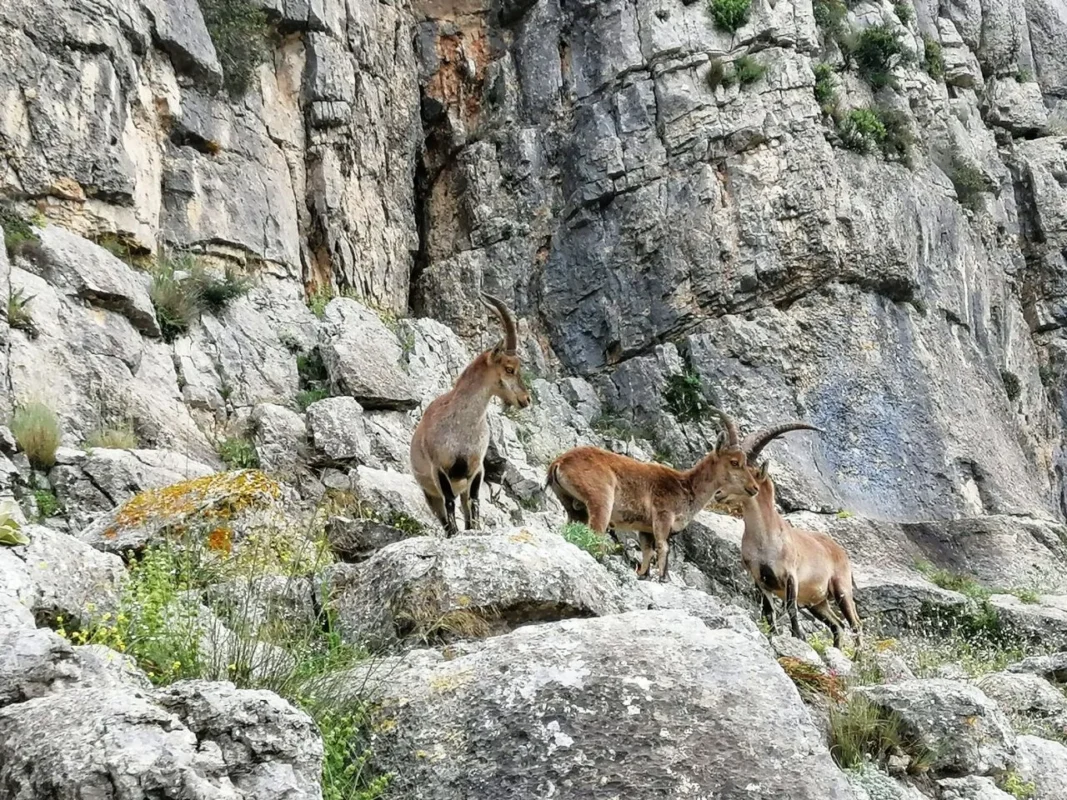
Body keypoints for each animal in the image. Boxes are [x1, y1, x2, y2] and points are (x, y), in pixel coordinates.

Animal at [410, 293, 531, 536]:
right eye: (509, 368)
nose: (526, 399)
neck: (461, 427)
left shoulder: (476, 469)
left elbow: (474, 505)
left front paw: (474, 530)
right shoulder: (440, 469)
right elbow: (449, 503)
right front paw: (456, 535)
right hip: (429, 493)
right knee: (444, 516)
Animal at [546, 410, 759, 582]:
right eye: (734, 462)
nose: (754, 487)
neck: (687, 486)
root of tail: (559, 463)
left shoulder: (645, 529)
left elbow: (647, 551)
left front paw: (644, 575)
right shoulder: (663, 516)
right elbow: (664, 547)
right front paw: (663, 578)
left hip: (573, 507)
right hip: (601, 500)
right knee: (595, 533)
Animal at [727, 423, 863, 650]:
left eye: (748, 472)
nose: (720, 493)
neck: (764, 539)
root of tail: (839, 550)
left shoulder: (791, 575)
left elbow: (790, 607)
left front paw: (798, 635)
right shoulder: (760, 579)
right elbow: (768, 611)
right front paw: (772, 634)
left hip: (841, 588)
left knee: (855, 624)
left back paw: (856, 656)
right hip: (818, 602)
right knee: (837, 624)